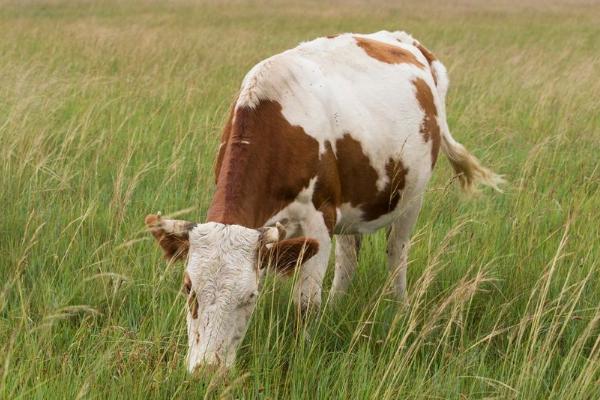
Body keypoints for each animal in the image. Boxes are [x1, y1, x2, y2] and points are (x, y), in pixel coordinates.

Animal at [144, 30, 502, 372]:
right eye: (188, 288)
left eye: (250, 296)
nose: (207, 370)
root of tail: (405, 40)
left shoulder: (318, 221)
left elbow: (305, 304)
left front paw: (302, 350)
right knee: (349, 257)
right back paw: (337, 306)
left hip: (411, 198)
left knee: (396, 254)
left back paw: (399, 308)